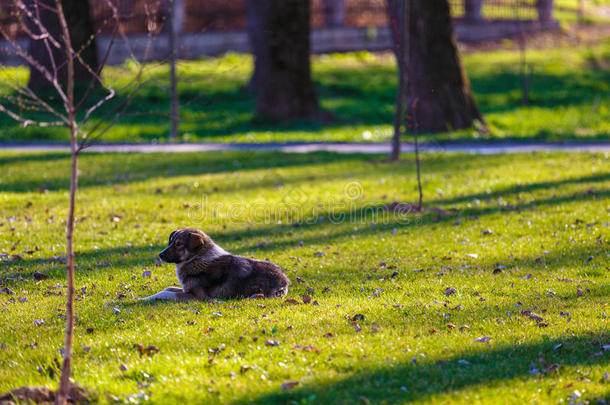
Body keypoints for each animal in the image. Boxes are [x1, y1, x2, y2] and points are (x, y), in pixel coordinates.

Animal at [141, 227, 288, 300]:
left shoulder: (197, 297)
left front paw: (142, 300)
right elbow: (167, 289)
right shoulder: (185, 289)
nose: (160, 255)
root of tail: (285, 281)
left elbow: (164, 294)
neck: (197, 258)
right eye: (170, 242)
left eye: (178, 244)